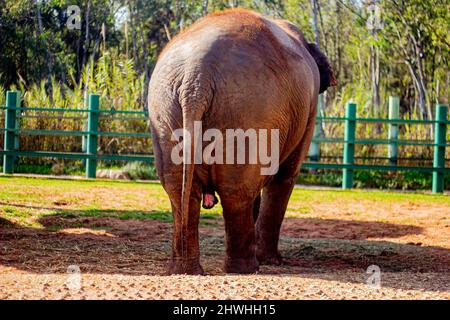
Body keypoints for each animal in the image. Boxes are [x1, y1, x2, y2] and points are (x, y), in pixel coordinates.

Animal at [149, 8, 336, 276]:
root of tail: (197, 77)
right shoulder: (308, 111)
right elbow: (284, 176)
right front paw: (272, 261)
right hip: (247, 110)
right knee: (236, 191)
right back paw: (247, 268)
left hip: (165, 108)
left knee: (180, 189)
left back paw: (185, 270)